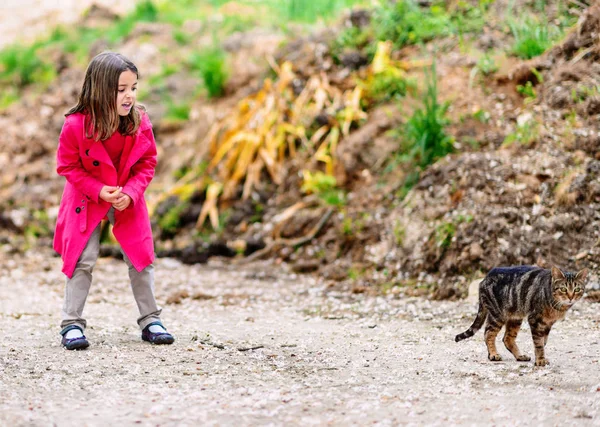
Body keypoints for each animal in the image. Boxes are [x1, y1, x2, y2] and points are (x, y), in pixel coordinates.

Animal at [458, 266, 588, 366]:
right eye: (563, 289)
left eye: (577, 289)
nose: (570, 297)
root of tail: (485, 278)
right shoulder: (535, 320)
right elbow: (539, 344)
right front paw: (540, 360)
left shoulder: (548, 323)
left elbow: (543, 342)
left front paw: (541, 358)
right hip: (497, 315)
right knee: (488, 334)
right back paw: (493, 354)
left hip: (515, 318)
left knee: (507, 338)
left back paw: (520, 356)